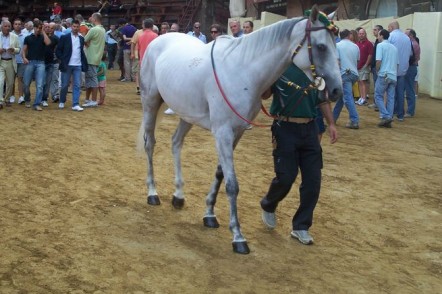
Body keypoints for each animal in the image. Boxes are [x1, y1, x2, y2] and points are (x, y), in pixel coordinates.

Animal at [138, 6, 342, 255]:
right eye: (321, 47)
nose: (336, 90)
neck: (243, 72)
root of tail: (159, 40)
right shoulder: (223, 133)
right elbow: (232, 184)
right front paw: (237, 236)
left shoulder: (236, 133)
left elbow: (220, 174)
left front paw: (209, 215)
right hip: (150, 102)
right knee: (150, 144)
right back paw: (152, 193)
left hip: (188, 114)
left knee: (176, 143)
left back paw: (178, 196)